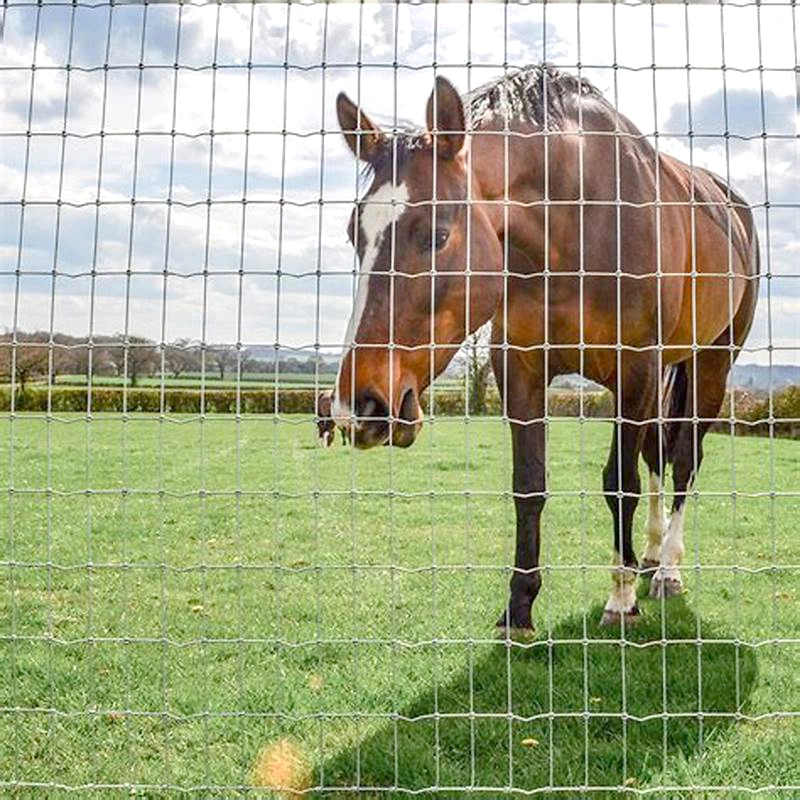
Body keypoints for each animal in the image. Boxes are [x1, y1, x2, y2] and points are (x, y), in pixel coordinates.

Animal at [324, 64, 756, 636]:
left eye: (436, 235)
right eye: (355, 233)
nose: (360, 406)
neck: (575, 221)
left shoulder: (636, 370)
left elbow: (620, 483)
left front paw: (621, 600)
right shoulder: (520, 366)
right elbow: (529, 485)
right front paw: (519, 607)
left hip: (711, 363)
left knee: (683, 459)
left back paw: (666, 570)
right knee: (658, 457)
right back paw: (650, 553)